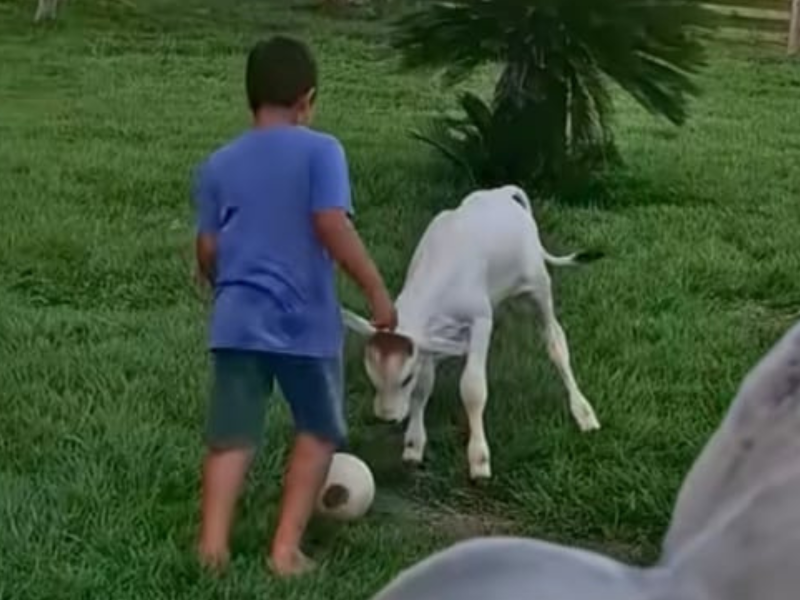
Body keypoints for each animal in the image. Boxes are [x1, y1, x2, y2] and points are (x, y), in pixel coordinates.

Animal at [344, 185, 600, 480]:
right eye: (371, 374)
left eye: (405, 378)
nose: (387, 417)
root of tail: (505, 192)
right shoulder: (429, 340)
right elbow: (424, 386)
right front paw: (413, 444)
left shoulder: (480, 320)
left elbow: (473, 388)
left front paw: (479, 459)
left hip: (539, 288)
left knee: (556, 343)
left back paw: (583, 412)